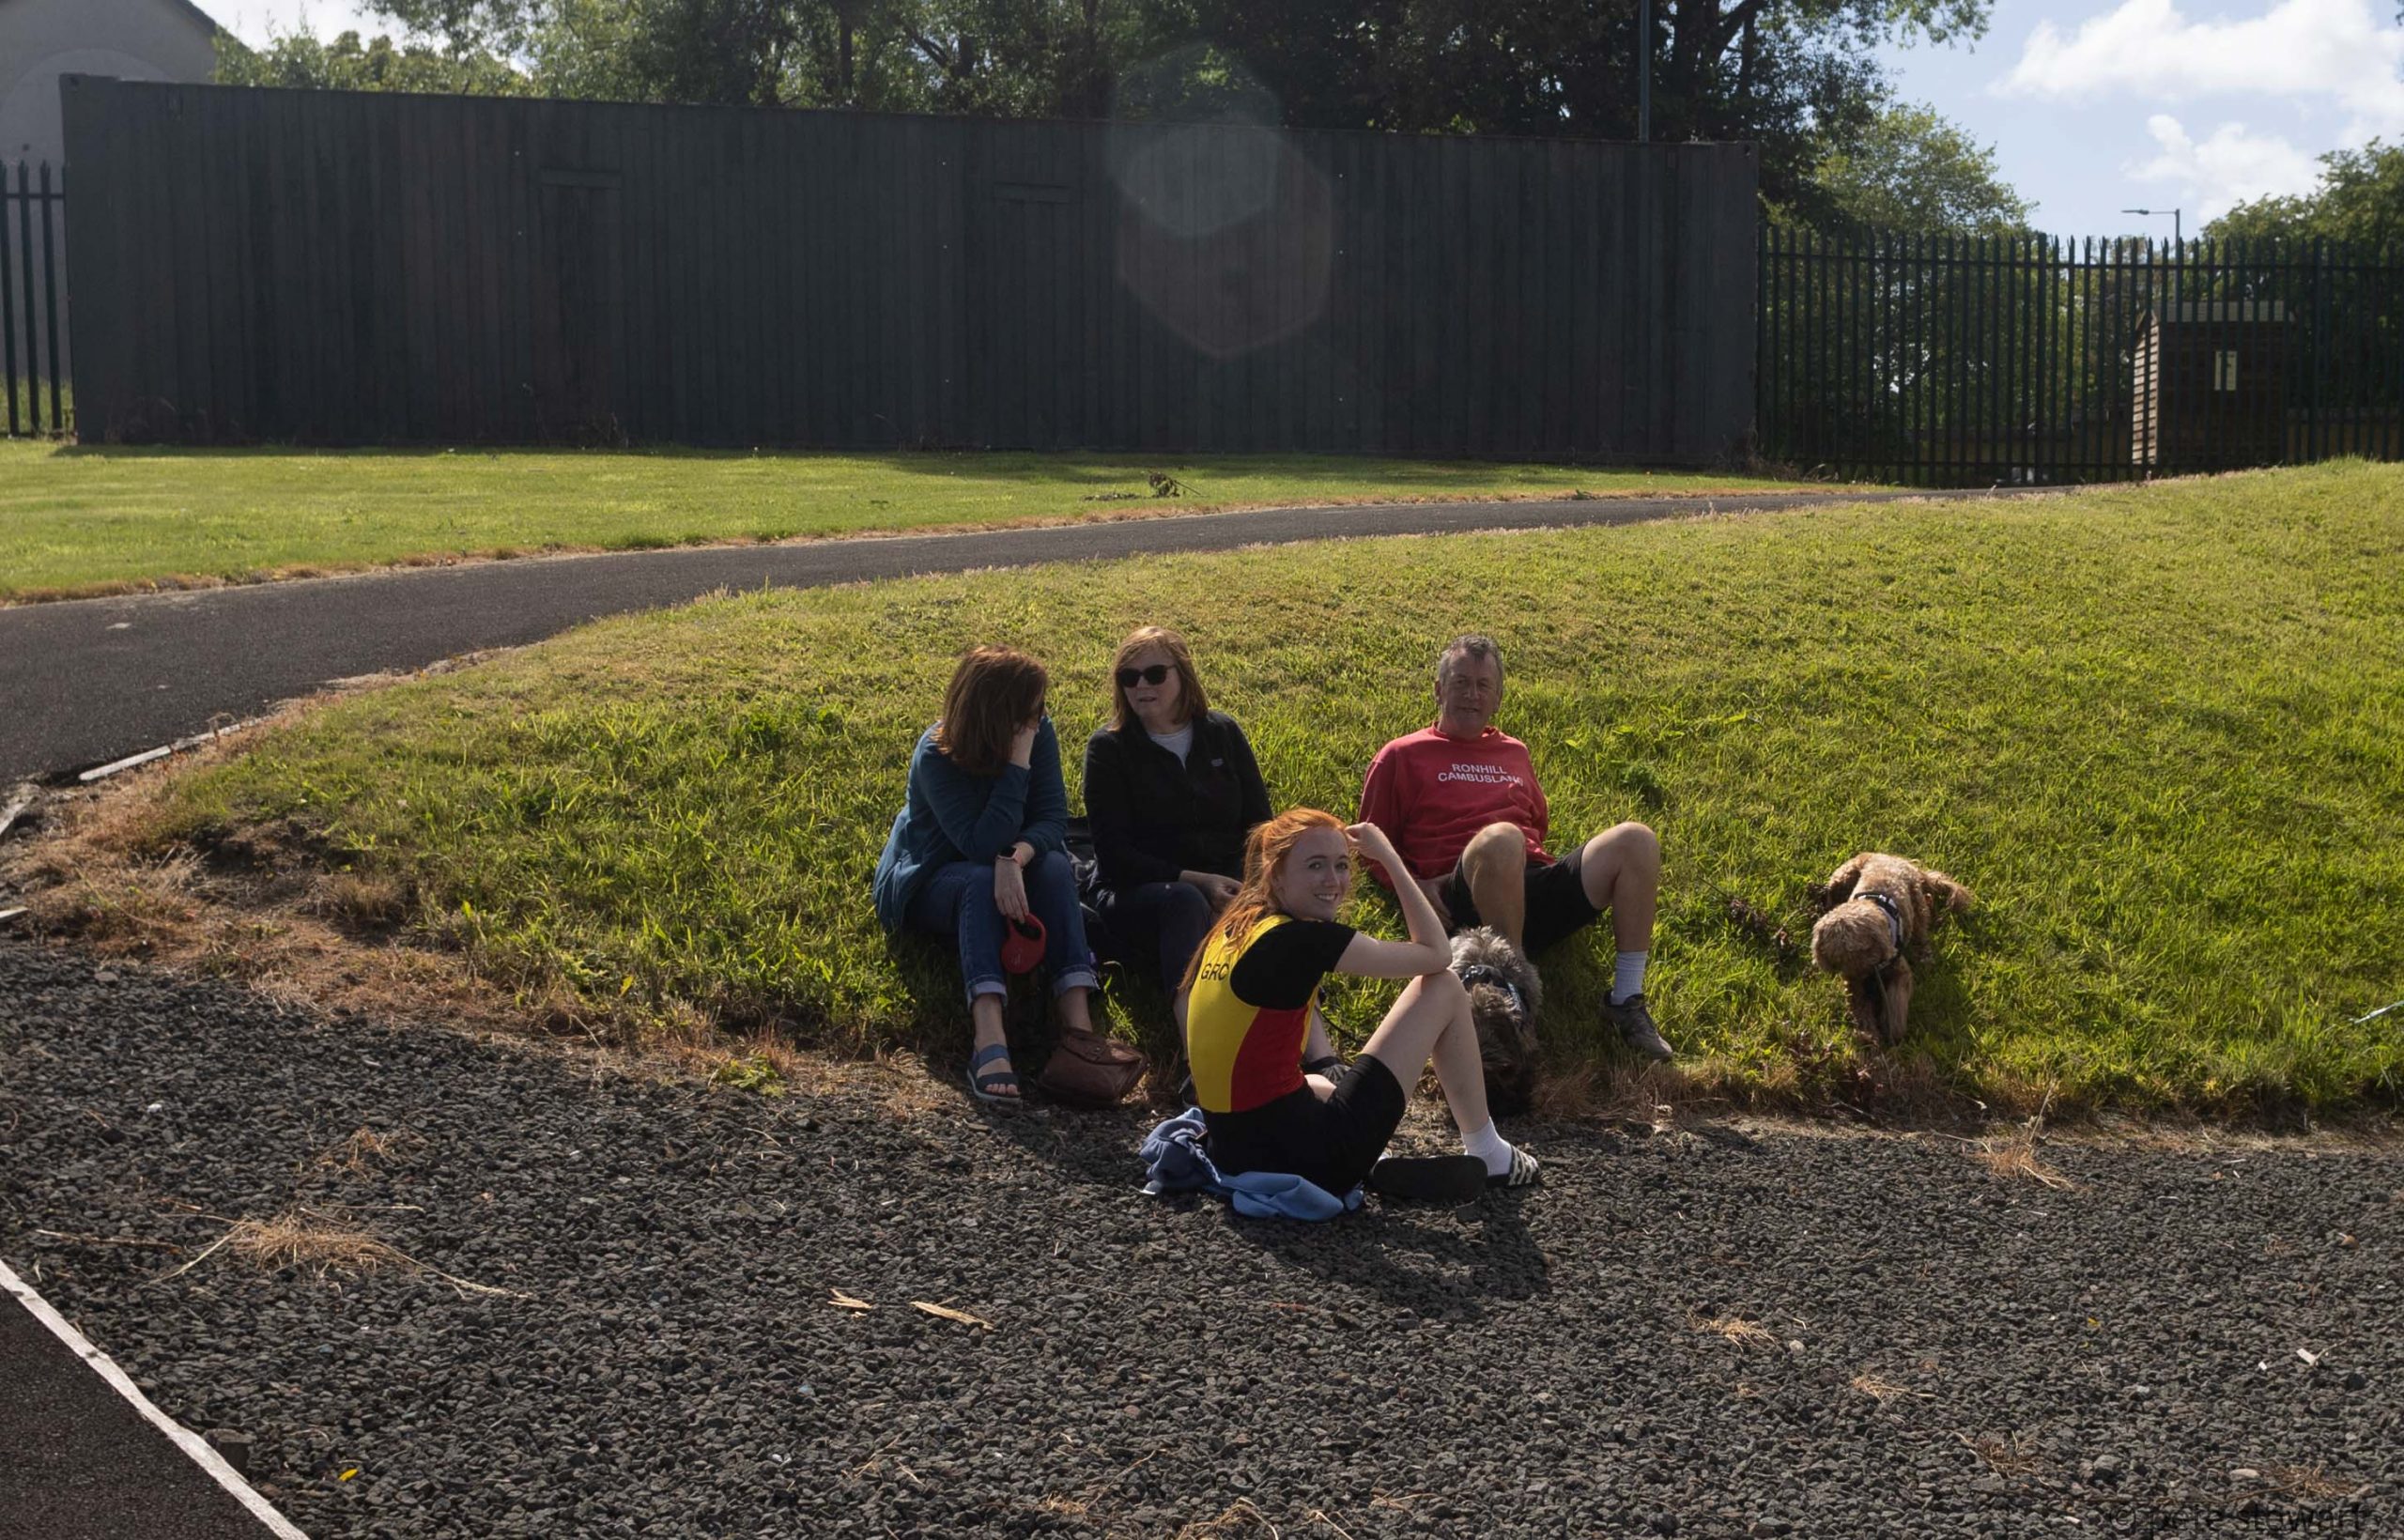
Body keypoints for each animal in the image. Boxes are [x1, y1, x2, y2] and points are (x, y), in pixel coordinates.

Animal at [1808, 855, 1971, 1047]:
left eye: (1863, 950)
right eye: (1838, 959)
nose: (1864, 979)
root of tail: (1892, 857)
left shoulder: (1900, 971)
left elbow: (1895, 1001)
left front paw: (1892, 1030)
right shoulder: (1854, 986)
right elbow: (1861, 1009)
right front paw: (1869, 1035)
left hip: (1914, 900)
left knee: (1922, 924)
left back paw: (1925, 955)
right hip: (1842, 877)